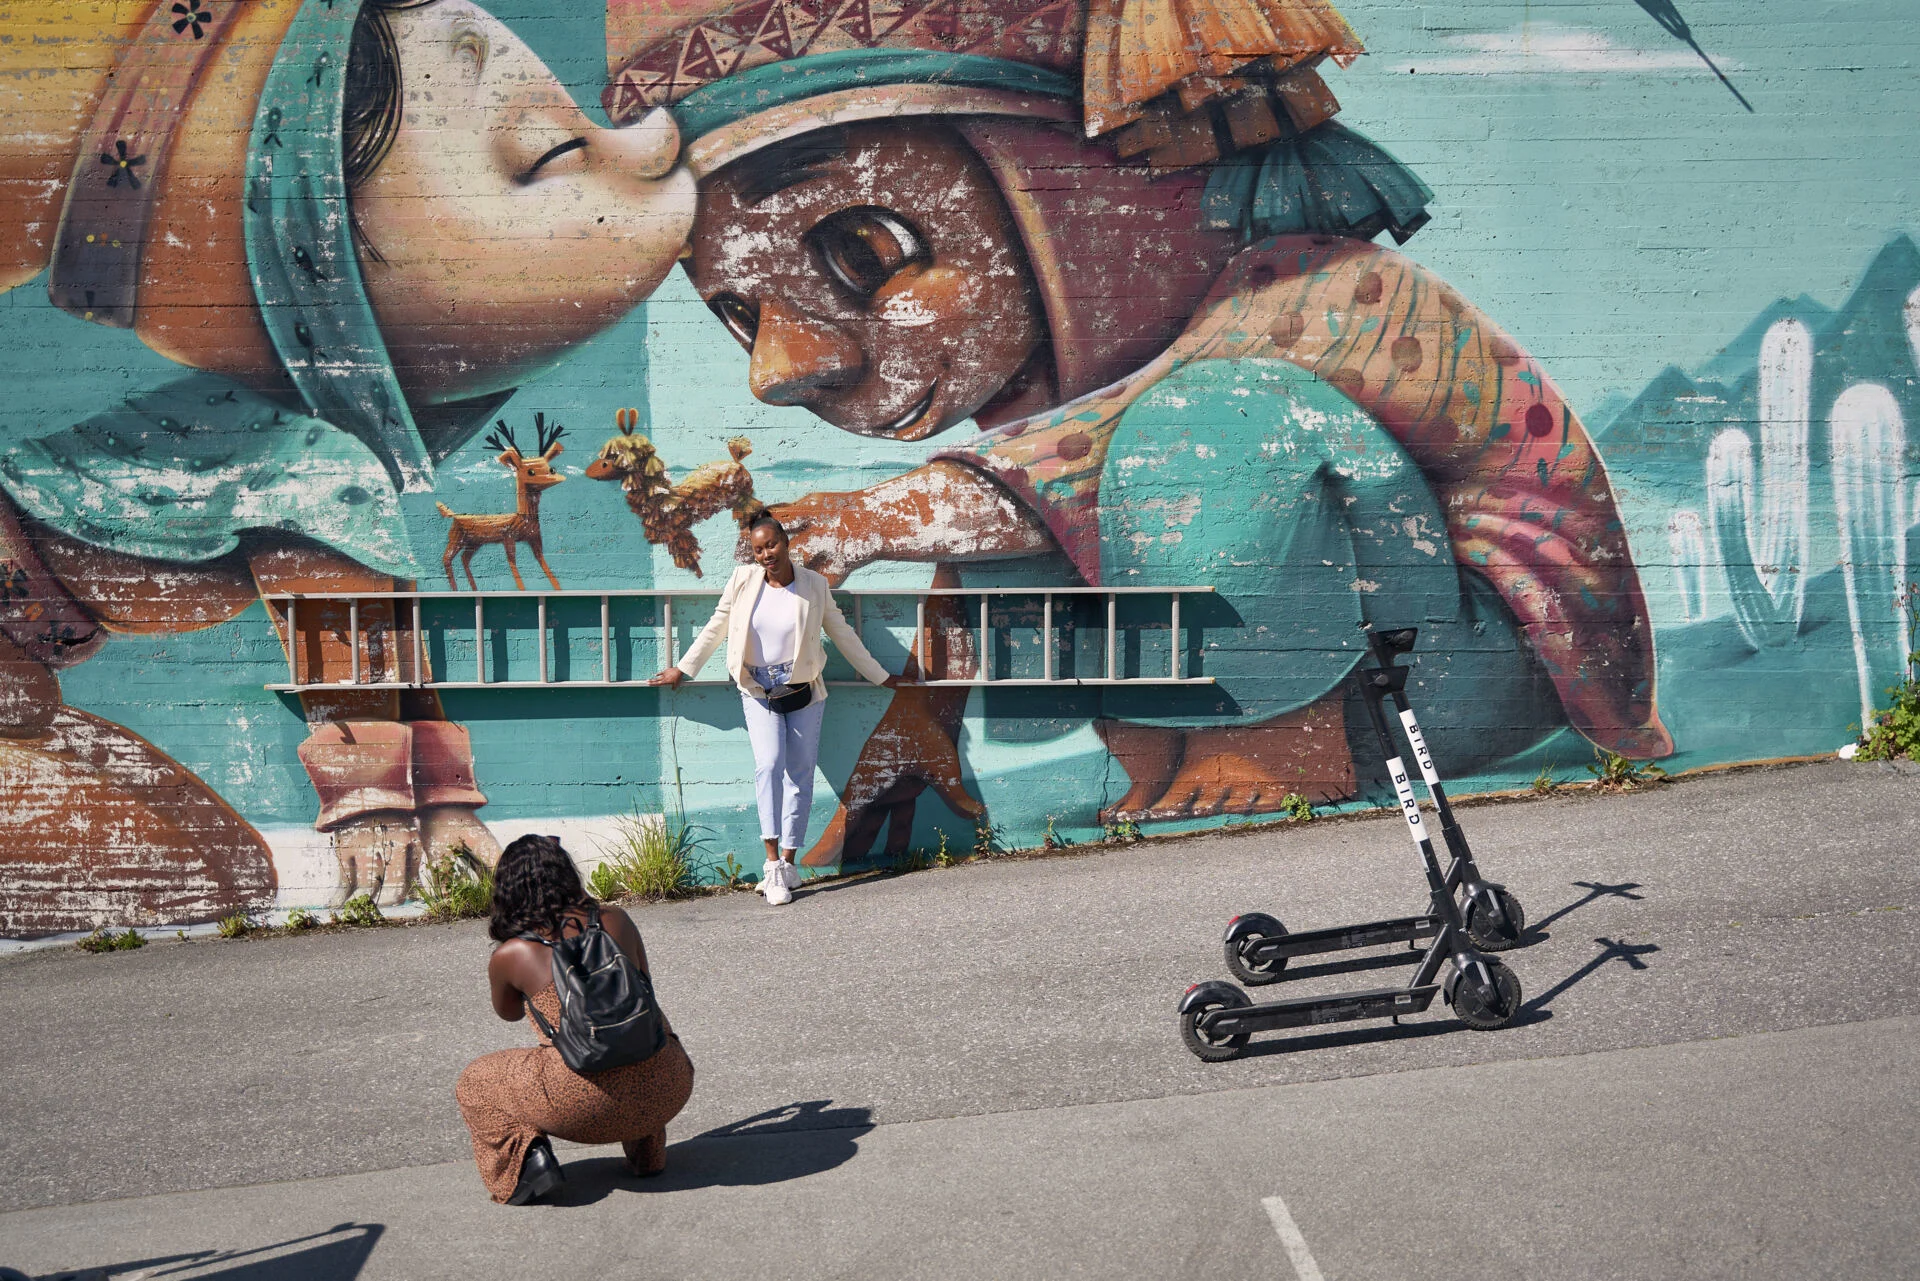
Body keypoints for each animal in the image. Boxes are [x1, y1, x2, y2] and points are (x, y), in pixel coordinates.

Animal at [441, 416, 568, 591]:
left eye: (551, 469)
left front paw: (558, 588)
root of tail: (454, 515)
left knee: (465, 558)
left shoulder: (535, 539)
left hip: (475, 543)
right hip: (457, 538)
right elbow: (512, 563)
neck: (524, 519)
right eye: (531, 471)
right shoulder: (508, 537)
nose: (557, 478)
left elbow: (544, 564)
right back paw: (456, 590)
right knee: (446, 558)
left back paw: (475, 590)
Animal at [583, 409, 764, 580]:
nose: (588, 472)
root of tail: (737, 462)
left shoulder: (678, 533)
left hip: (744, 500)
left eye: (611, 459)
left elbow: (691, 560)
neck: (660, 498)